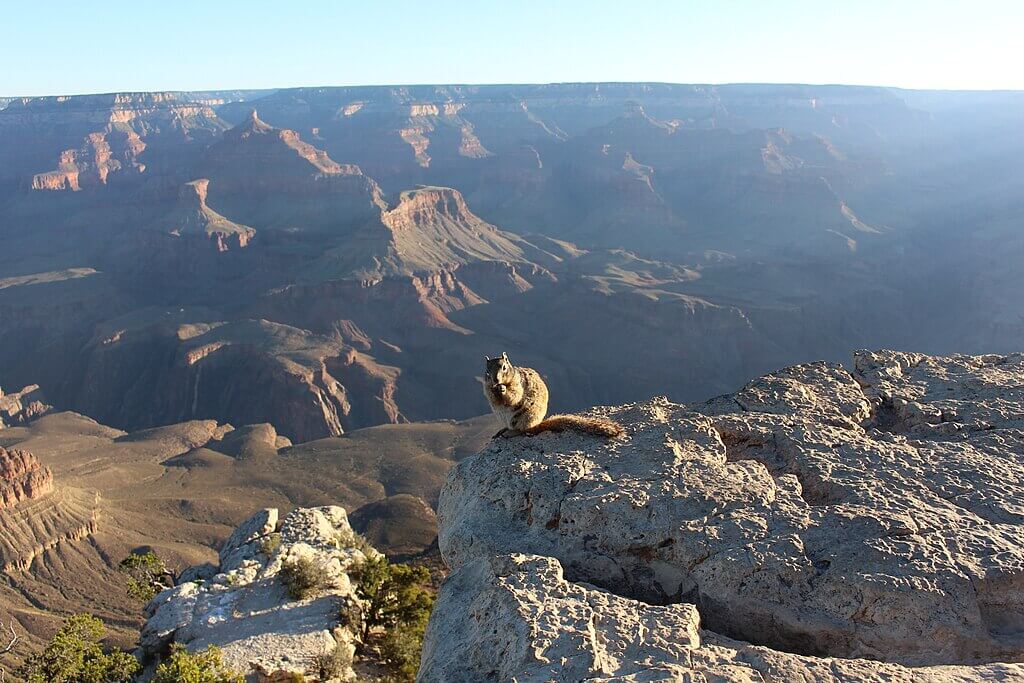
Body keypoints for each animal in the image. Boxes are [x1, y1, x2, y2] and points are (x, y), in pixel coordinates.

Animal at [482, 353, 624, 439]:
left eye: (504, 367)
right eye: (487, 371)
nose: (496, 380)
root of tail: (537, 424)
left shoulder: (518, 385)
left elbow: (514, 396)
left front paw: (503, 389)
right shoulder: (487, 388)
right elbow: (494, 400)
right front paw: (496, 390)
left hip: (525, 417)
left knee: (523, 430)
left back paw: (511, 432)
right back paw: (502, 430)